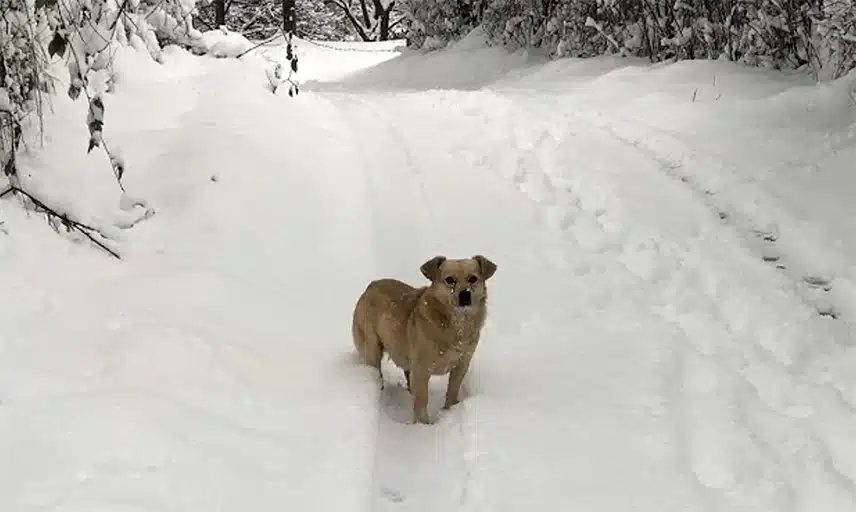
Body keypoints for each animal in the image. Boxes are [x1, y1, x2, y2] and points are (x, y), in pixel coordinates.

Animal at [350, 253, 494, 424]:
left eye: (473, 279)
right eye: (449, 279)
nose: (465, 294)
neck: (456, 326)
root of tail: (371, 286)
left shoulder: (462, 364)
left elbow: (452, 390)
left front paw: (449, 410)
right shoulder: (421, 370)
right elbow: (422, 398)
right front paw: (422, 425)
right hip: (372, 350)